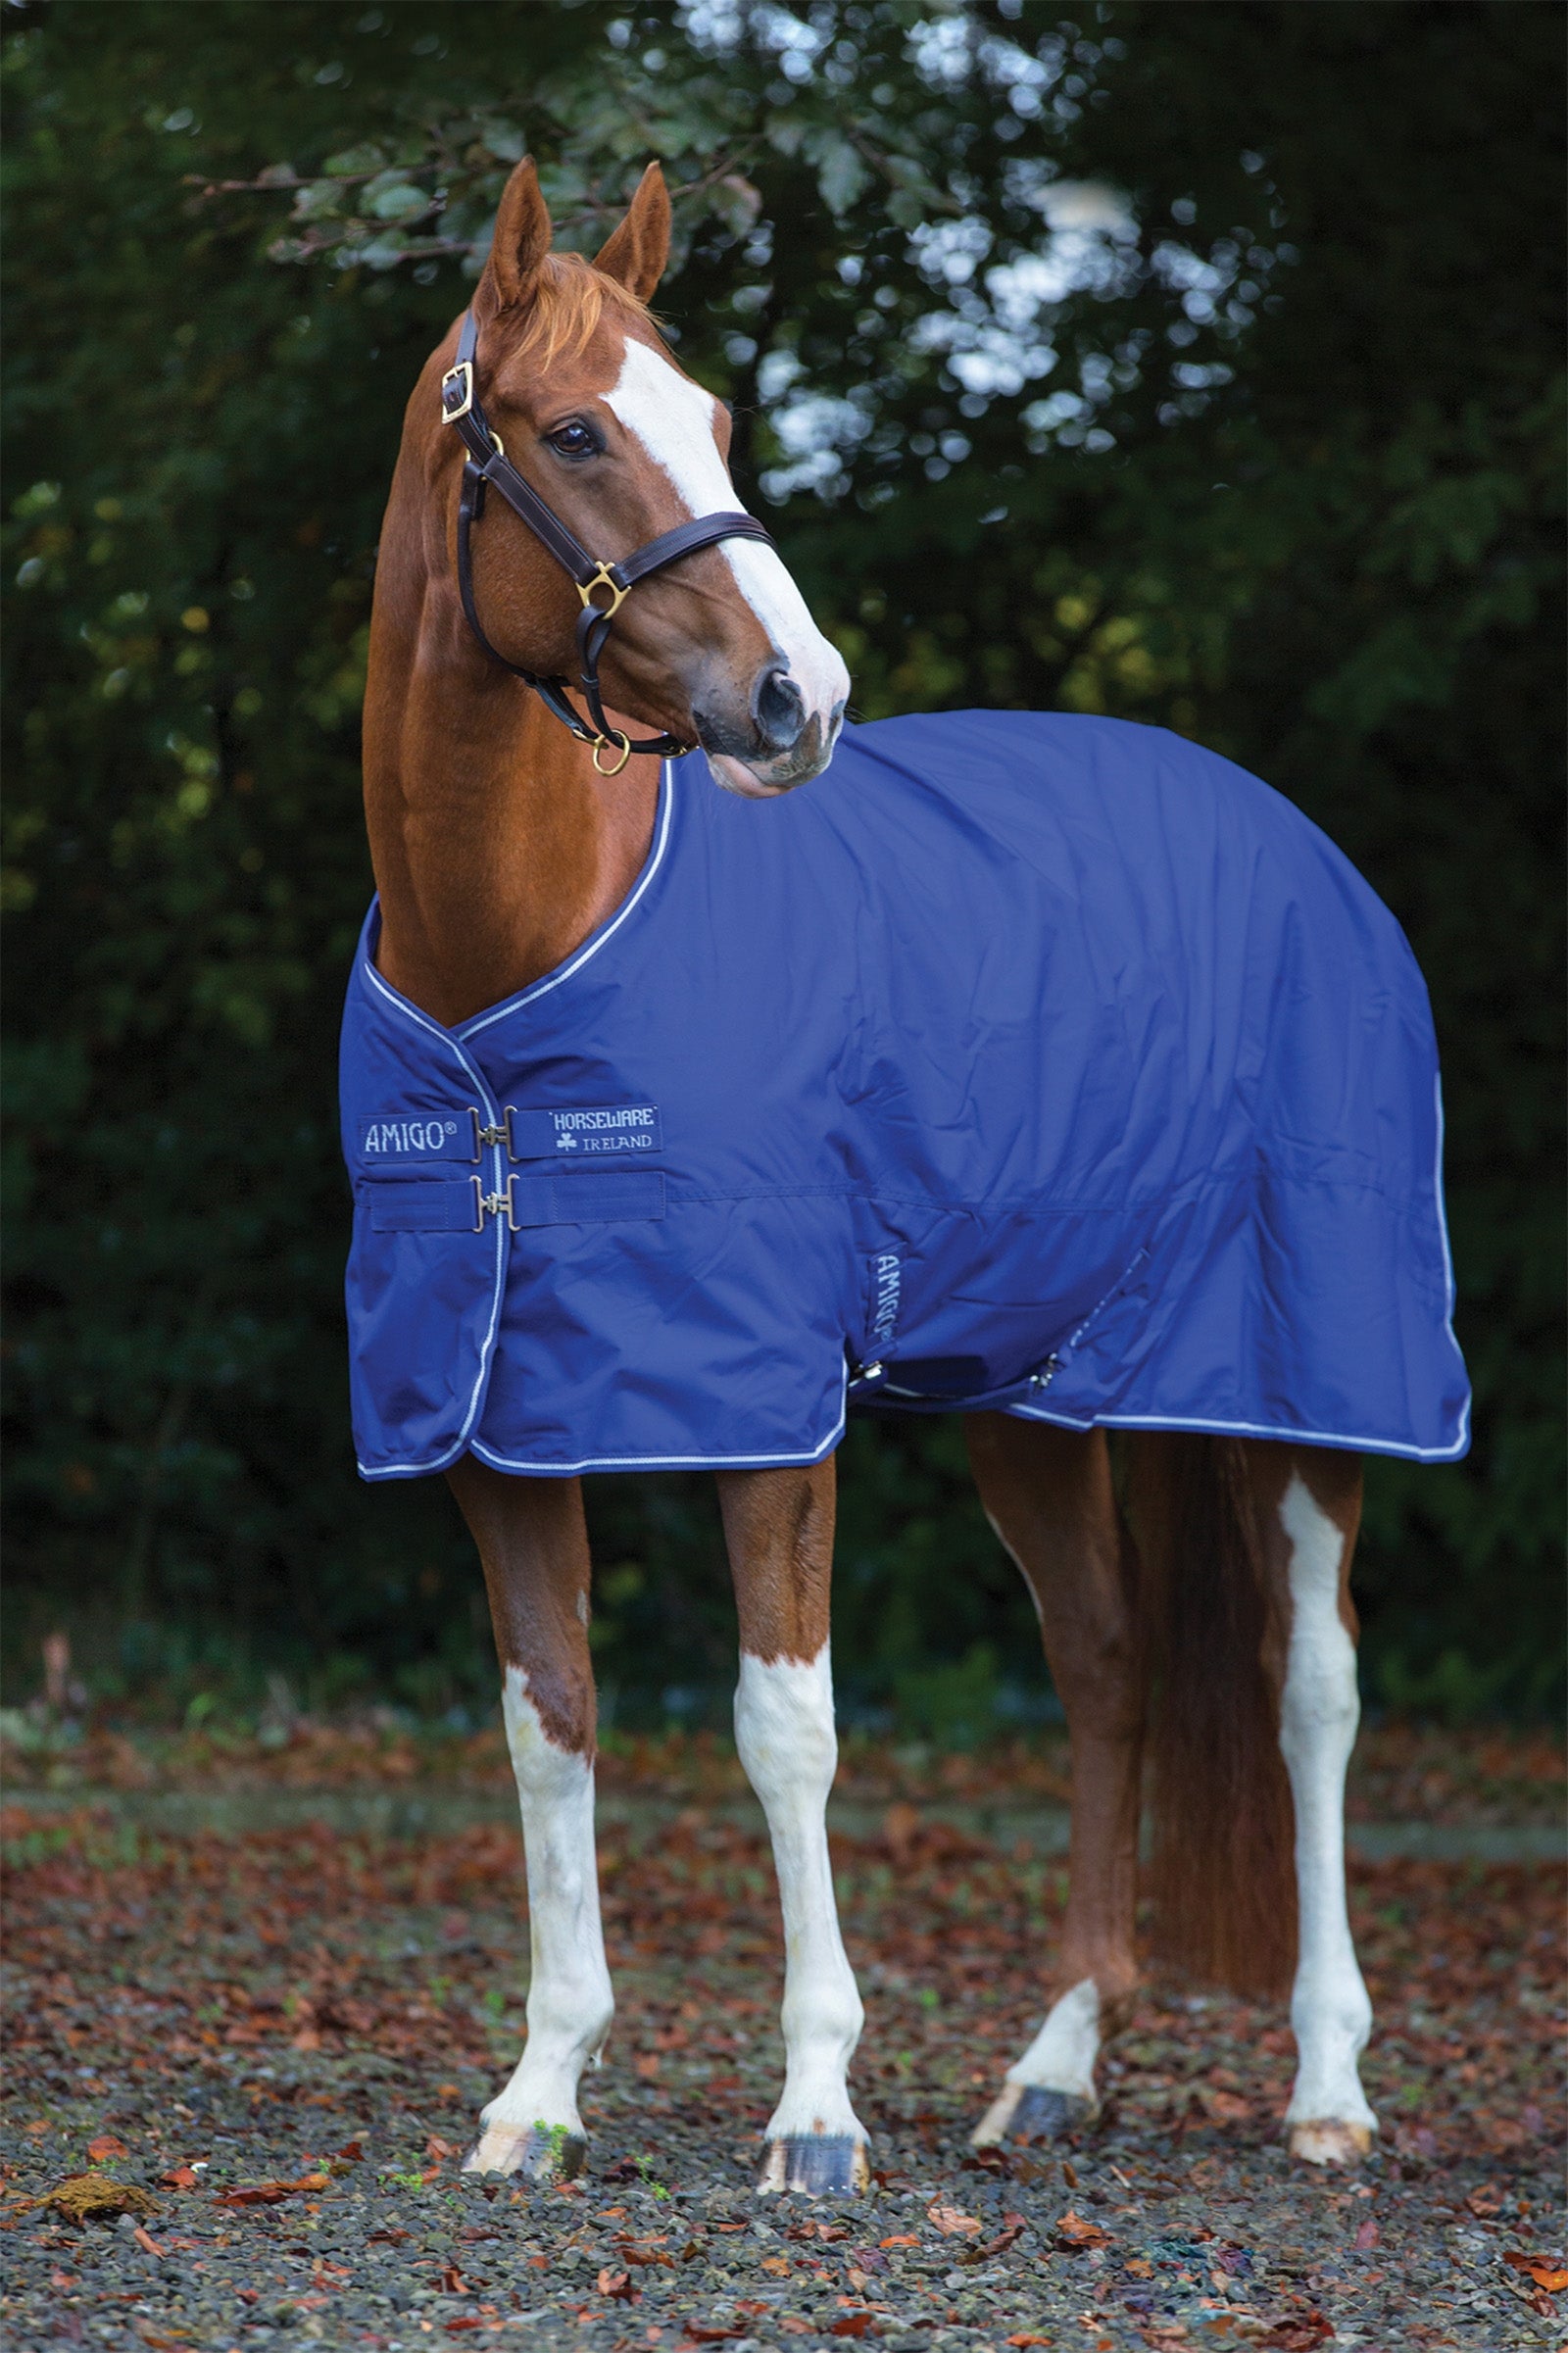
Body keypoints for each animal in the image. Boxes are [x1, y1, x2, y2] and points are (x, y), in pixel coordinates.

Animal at [350, 157, 1467, 2196]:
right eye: (572, 430)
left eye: (717, 418)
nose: (801, 697)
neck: (511, 987)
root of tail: (1293, 839)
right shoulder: (497, 1422)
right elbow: (551, 1724)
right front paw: (538, 2095)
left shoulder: (767, 1405)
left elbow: (784, 1727)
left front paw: (814, 2113)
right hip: (1028, 1393)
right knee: (1109, 1664)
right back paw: (1055, 2067)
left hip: (1306, 1381)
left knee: (1314, 1684)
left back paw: (1330, 2089)